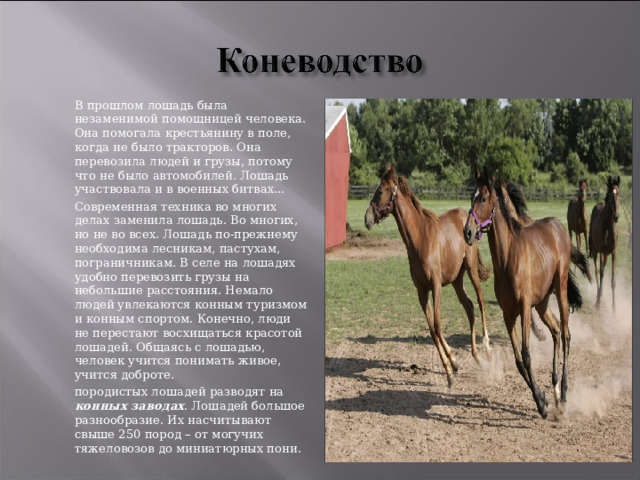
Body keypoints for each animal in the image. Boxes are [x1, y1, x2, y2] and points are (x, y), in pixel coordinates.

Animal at [364, 165, 491, 387]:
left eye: (379, 191)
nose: (367, 219)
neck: (420, 238)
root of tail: (469, 222)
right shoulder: (422, 291)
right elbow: (432, 330)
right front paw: (453, 364)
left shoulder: (436, 286)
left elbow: (438, 325)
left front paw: (450, 372)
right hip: (457, 280)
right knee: (469, 307)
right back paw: (475, 355)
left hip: (471, 269)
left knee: (481, 301)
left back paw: (487, 350)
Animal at [463, 169, 591, 418]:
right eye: (471, 197)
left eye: (483, 198)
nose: (468, 232)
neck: (507, 259)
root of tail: (559, 227)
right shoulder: (508, 314)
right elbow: (518, 361)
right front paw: (543, 398)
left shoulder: (523, 308)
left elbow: (526, 354)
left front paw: (541, 404)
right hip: (542, 303)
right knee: (556, 331)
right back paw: (555, 389)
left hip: (560, 290)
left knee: (566, 334)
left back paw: (564, 393)